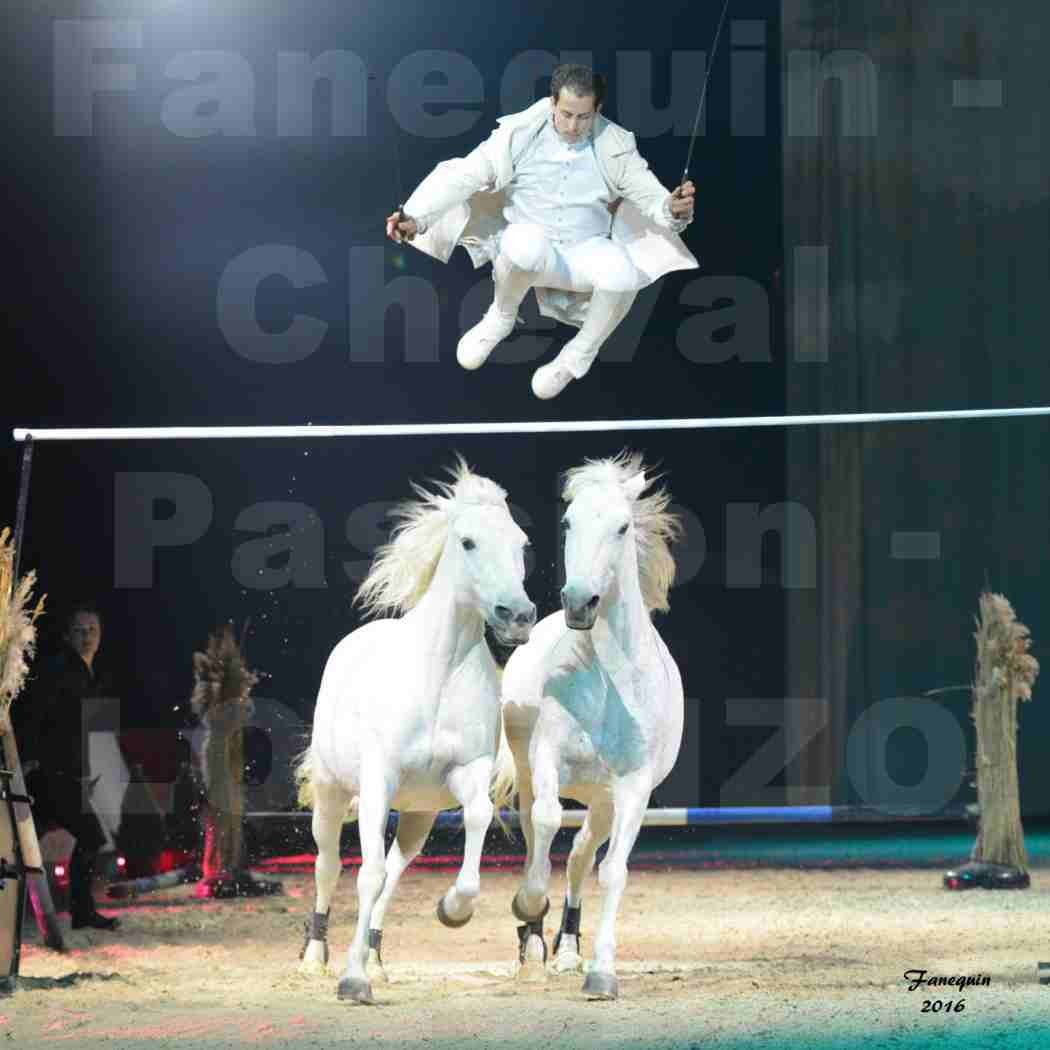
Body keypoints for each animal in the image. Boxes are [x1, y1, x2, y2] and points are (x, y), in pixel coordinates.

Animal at [296, 457, 537, 999]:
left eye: (521, 543)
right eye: (468, 542)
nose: (518, 616)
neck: (440, 673)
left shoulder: (465, 773)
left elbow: (476, 820)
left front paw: (453, 910)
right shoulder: (377, 781)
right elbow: (364, 874)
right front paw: (352, 979)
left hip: (417, 815)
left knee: (395, 870)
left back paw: (376, 956)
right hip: (332, 792)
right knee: (329, 865)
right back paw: (316, 956)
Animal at [489, 453, 680, 999]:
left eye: (622, 527)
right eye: (569, 523)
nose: (580, 602)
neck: (610, 681)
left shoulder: (633, 786)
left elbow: (613, 871)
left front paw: (602, 973)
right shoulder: (548, 758)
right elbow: (547, 822)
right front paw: (529, 907)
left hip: (603, 799)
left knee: (580, 855)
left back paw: (569, 948)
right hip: (531, 773)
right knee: (538, 832)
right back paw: (533, 942)